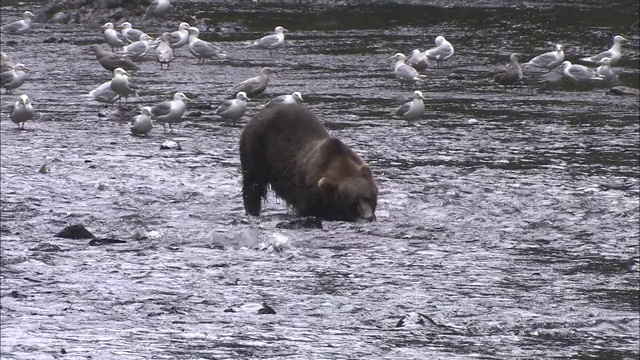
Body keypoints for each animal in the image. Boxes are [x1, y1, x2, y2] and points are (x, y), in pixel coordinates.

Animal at [242, 104, 378, 221]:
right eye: (352, 202)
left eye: (368, 197)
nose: (368, 216)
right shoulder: (309, 195)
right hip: (255, 148)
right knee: (252, 186)